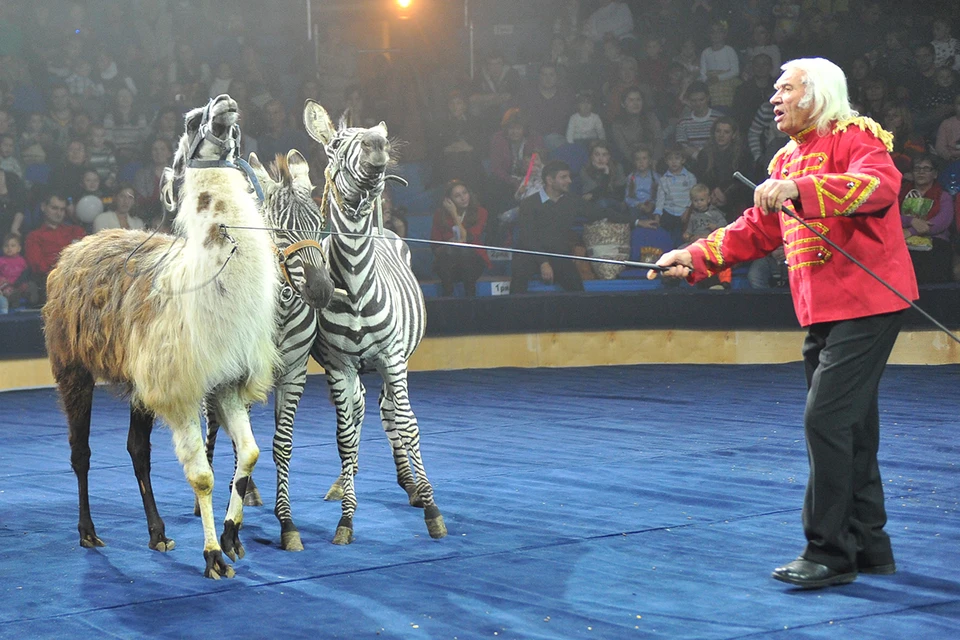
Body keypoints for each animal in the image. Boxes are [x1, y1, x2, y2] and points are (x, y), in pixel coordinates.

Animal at [294, 100, 448, 544]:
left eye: (378, 136)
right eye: (335, 145)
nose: (377, 143)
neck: (358, 284)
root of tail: (383, 230)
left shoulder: (392, 358)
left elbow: (409, 425)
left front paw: (431, 508)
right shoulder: (340, 365)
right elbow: (345, 436)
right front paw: (347, 515)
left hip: (395, 362)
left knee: (391, 412)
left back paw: (412, 485)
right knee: (364, 410)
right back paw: (347, 482)